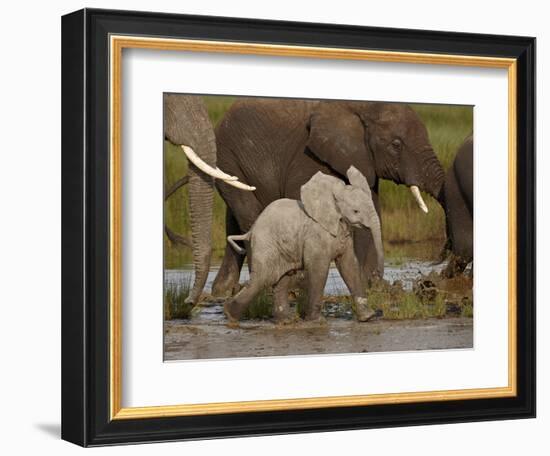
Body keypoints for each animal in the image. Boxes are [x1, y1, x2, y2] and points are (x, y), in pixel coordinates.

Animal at [211, 98, 448, 296]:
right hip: (227, 156)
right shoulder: (308, 156)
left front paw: (370, 286)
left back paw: (223, 290)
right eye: (396, 144)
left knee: (234, 220)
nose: (434, 270)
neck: (361, 106)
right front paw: (300, 285)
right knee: (249, 215)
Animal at [224, 167, 384, 324]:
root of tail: (251, 230)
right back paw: (230, 314)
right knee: (262, 279)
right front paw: (317, 321)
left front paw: (368, 317)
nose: (376, 274)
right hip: (266, 245)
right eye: (356, 211)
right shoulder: (315, 235)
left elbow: (349, 266)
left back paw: (286, 321)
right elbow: (319, 268)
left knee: (281, 280)